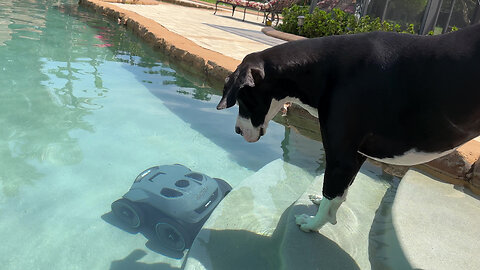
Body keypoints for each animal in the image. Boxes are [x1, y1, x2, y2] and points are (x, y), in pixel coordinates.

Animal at [217, 23, 480, 232]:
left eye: (242, 99)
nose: (237, 131)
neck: (323, 67)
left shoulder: (340, 158)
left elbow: (330, 192)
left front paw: (313, 224)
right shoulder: (357, 155)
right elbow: (340, 192)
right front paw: (325, 210)